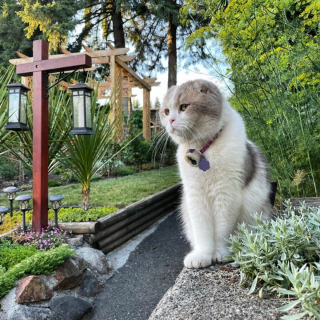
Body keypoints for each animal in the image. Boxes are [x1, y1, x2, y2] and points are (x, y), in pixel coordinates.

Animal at [160, 79, 272, 268]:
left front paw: (219, 253)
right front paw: (202, 255)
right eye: (166, 111)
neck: (202, 150)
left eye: (184, 107)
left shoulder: (226, 194)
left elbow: (221, 230)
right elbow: (202, 231)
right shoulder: (195, 196)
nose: (171, 120)